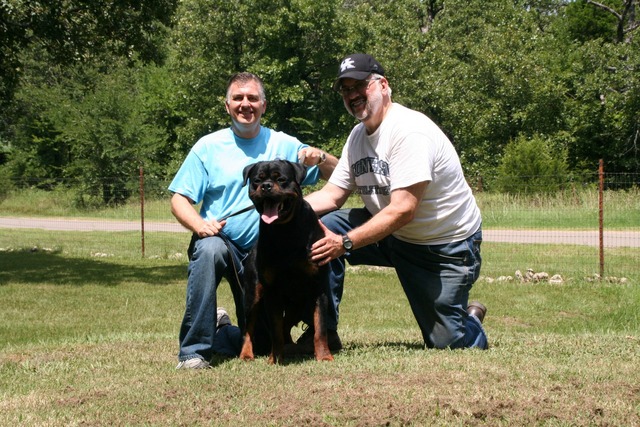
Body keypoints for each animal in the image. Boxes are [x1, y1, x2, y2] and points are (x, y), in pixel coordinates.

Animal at [238, 160, 332, 364]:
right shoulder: (272, 292)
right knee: (249, 328)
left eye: (281, 179)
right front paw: (275, 359)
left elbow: (320, 328)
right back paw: (247, 354)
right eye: (256, 181)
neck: (285, 230)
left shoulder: (318, 287)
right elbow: (275, 331)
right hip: (252, 295)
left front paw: (324, 356)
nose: (266, 186)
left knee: (286, 324)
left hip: (298, 304)